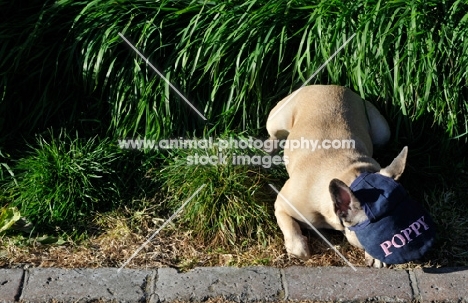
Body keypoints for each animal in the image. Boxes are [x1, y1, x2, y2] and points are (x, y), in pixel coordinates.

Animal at [268, 84, 408, 268]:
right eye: (376, 234)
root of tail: (326, 86)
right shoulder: (282, 204)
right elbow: (295, 238)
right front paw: (297, 248)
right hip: (277, 120)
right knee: (274, 134)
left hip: (383, 133)